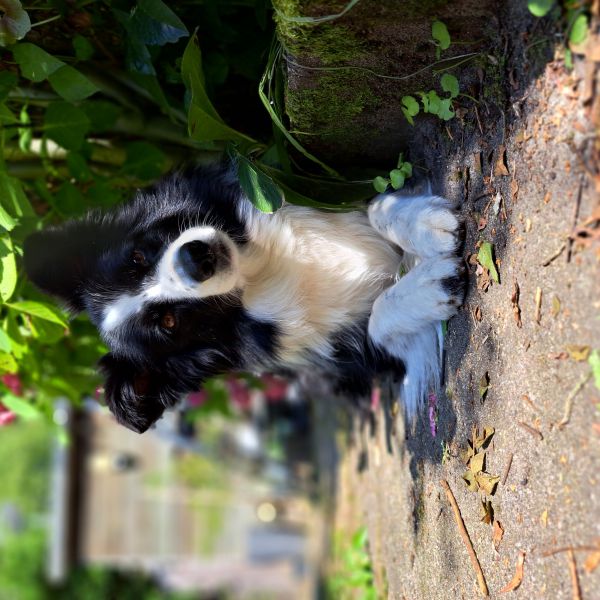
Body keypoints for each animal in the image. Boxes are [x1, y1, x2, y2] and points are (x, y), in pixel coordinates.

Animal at [23, 161, 464, 432]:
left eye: (137, 257)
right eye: (169, 323)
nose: (195, 259)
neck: (257, 272)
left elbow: (376, 206)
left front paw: (425, 225)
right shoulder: (355, 361)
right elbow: (376, 319)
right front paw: (433, 285)